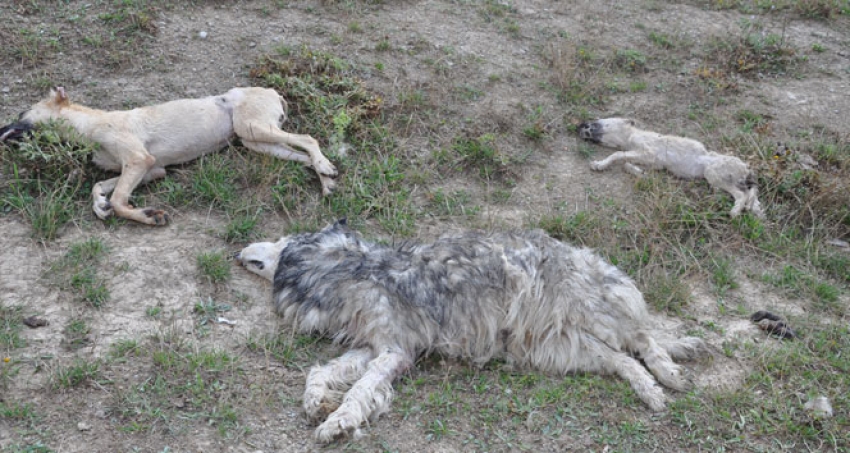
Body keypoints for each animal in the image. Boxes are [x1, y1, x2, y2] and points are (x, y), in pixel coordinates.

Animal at [2, 86, 334, 224]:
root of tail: (271, 90)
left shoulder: (139, 161)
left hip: (254, 127)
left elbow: (120, 200)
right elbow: (100, 188)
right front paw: (100, 206)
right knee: (303, 155)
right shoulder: (150, 170)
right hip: (256, 141)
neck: (88, 125)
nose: (0, 129)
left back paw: (326, 166)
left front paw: (147, 216)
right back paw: (326, 180)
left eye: (22, 113)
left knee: (308, 138)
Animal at [237, 221, 704, 444]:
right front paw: (317, 402)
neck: (350, 268)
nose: (239, 250)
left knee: (643, 337)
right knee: (626, 358)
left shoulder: (393, 352)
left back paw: (672, 373)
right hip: (562, 348)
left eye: (280, 241)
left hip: (590, 315)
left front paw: (338, 423)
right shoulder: (375, 347)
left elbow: (359, 390)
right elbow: (319, 372)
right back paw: (656, 387)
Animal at [576, 117, 760, 218]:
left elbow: (617, 155)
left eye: (596, 121)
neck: (629, 137)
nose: (578, 126)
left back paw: (735, 211)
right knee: (751, 196)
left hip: (713, 174)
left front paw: (599, 164)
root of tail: (746, 168)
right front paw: (640, 173)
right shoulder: (652, 162)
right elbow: (627, 163)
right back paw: (753, 211)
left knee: (742, 195)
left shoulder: (649, 153)